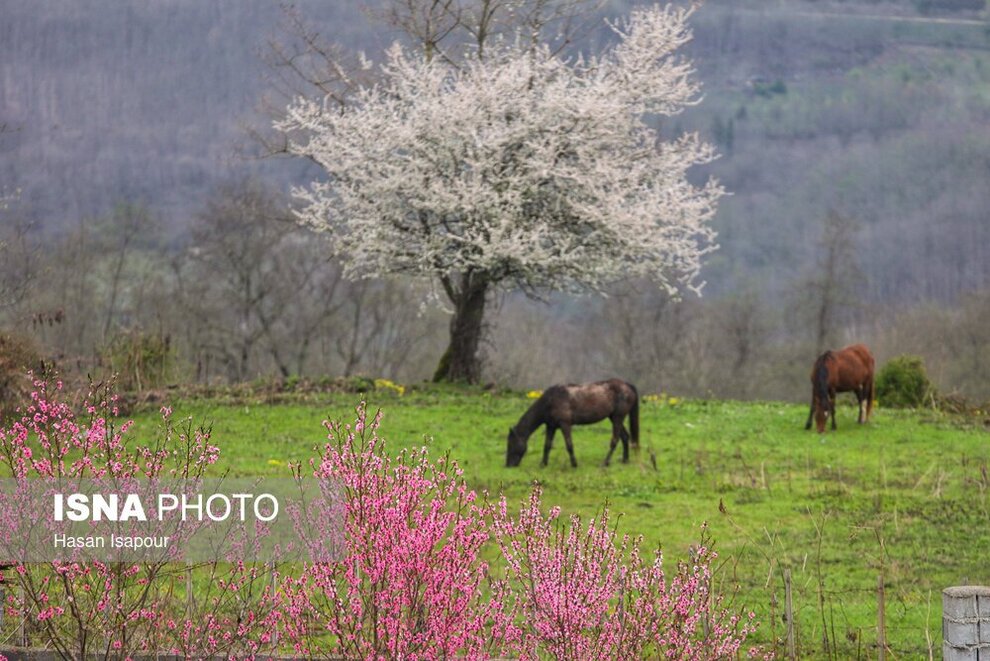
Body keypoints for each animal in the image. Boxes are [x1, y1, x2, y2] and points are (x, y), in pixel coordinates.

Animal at [508, 378, 640, 466]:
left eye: (510, 444)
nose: (508, 465)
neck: (550, 401)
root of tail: (627, 385)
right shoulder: (551, 426)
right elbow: (547, 445)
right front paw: (543, 464)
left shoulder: (565, 424)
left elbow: (569, 445)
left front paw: (574, 464)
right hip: (614, 418)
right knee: (625, 437)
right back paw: (625, 460)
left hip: (618, 417)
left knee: (615, 440)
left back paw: (606, 462)